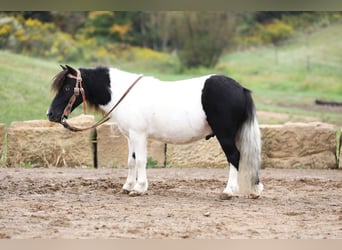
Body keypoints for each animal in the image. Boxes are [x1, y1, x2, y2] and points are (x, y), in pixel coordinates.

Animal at [46, 65, 264, 199]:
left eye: (67, 88)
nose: (51, 114)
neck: (124, 94)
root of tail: (240, 89)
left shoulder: (138, 134)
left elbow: (141, 161)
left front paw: (139, 188)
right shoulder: (130, 137)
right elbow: (131, 161)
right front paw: (128, 186)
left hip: (224, 134)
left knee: (234, 157)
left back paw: (229, 191)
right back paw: (255, 190)